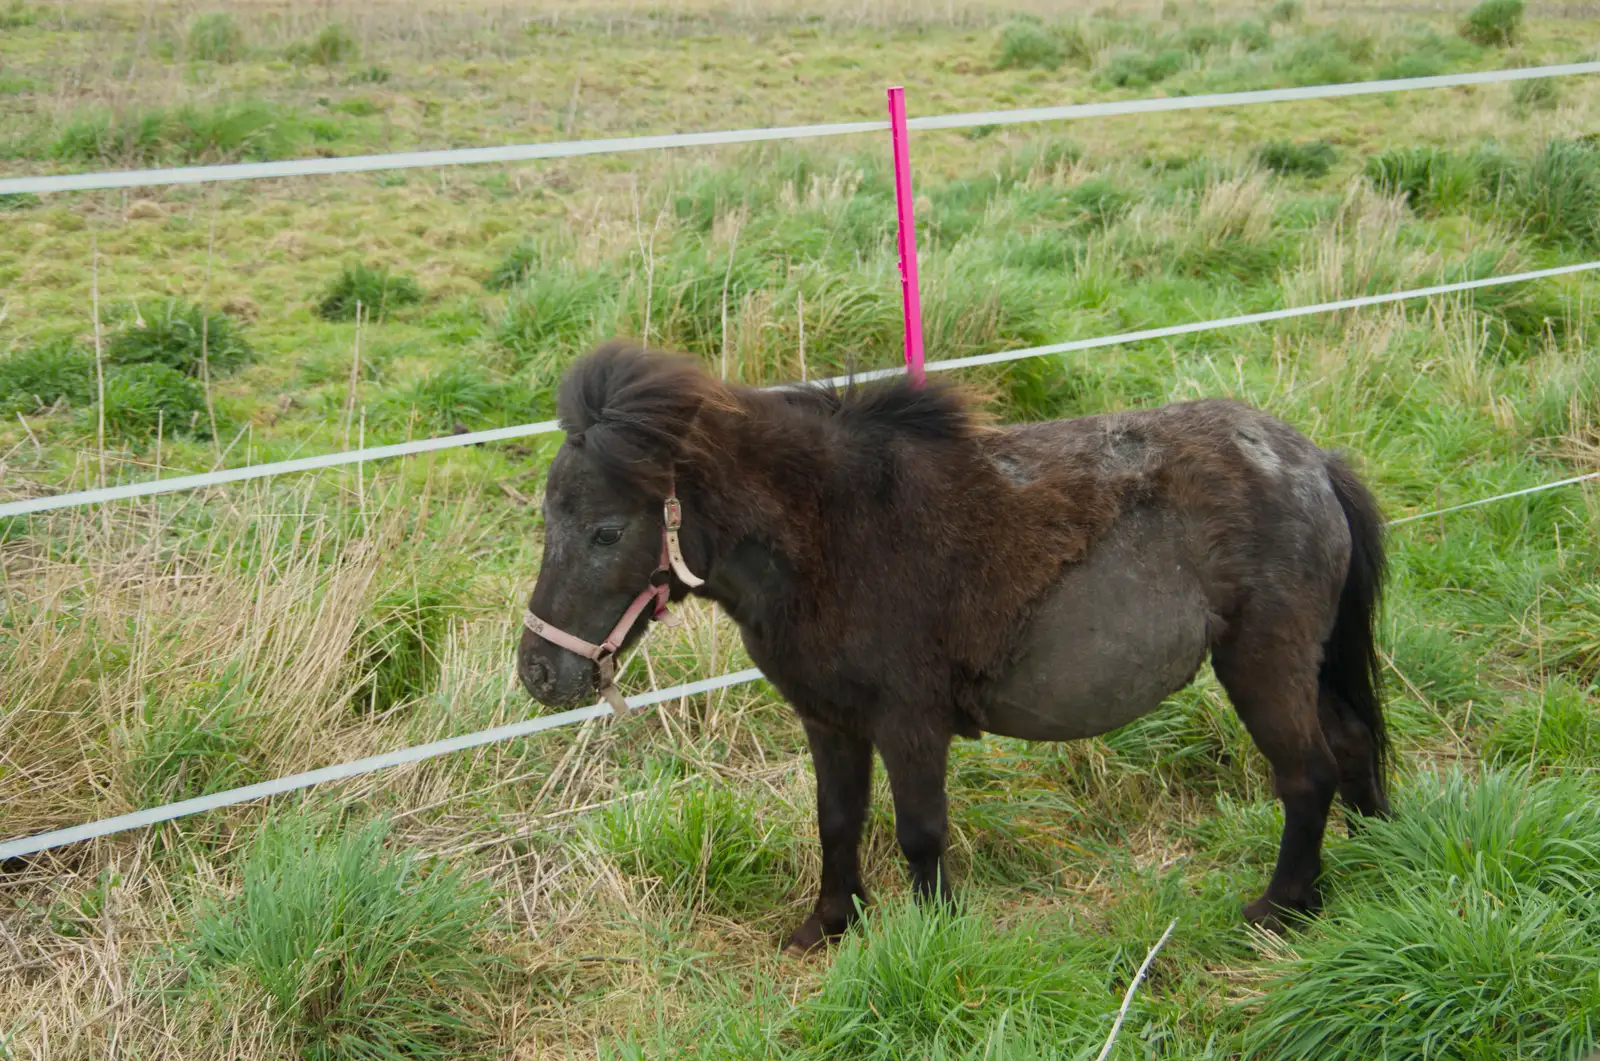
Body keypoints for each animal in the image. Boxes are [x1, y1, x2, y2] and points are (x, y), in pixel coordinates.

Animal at [517, 341, 1389, 952]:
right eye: (549, 518)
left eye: (605, 530)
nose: (538, 672)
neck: (835, 533)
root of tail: (1314, 461)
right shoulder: (830, 721)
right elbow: (837, 819)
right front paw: (829, 925)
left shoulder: (911, 723)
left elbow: (920, 830)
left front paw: (933, 933)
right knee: (1352, 745)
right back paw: (1378, 859)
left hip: (1263, 665)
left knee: (1306, 774)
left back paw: (1281, 907)